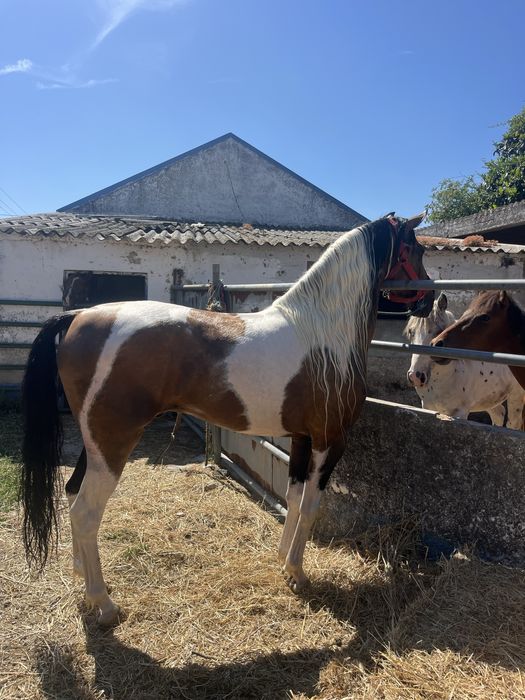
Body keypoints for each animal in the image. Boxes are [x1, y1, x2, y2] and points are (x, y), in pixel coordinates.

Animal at [20, 213, 434, 626]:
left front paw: (282, 560)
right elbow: (311, 506)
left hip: (94, 442)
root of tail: (78, 315)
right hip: (113, 442)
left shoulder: (301, 438)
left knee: (72, 493)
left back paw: (81, 576)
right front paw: (298, 574)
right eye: (416, 248)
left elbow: (293, 498)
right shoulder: (328, 439)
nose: (430, 299)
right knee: (86, 513)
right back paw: (103, 603)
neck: (323, 332)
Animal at [405, 293, 524, 427]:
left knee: (513, 423)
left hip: (516, 396)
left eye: (438, 331)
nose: (415, 376)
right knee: (499, 414)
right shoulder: (427, 408)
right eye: (411, 332)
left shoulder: (459, 413)